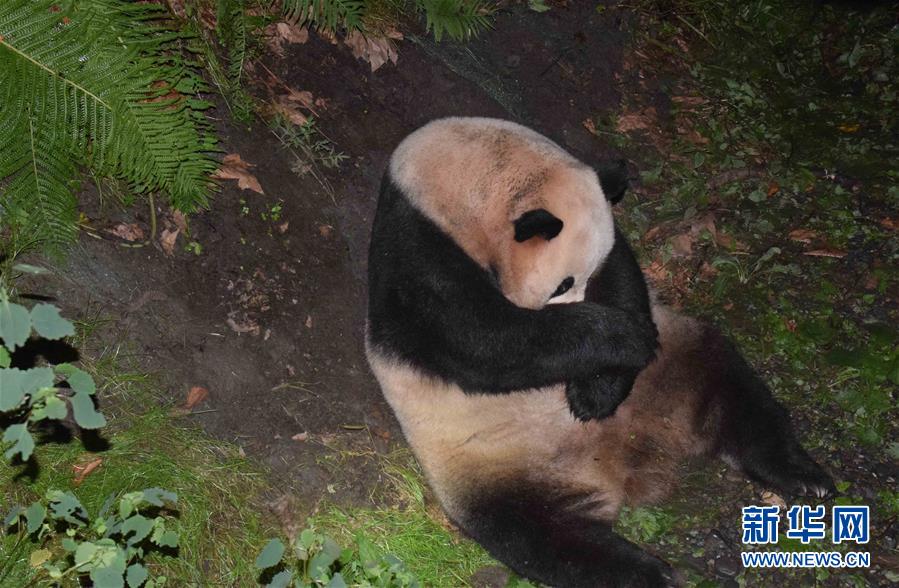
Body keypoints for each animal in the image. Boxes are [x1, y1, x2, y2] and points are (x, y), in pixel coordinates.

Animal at [366, 117, 836, 584]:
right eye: (563, 283)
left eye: (585, 276)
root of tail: (629, 457)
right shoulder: (418, 252)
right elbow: (481, 340)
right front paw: (621, 339)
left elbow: (625, 275)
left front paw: (594, 392)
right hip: (496, 466)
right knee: (542, 533)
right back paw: (651, 574)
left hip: (677, 361)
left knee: (733, 389)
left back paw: (799, 475)